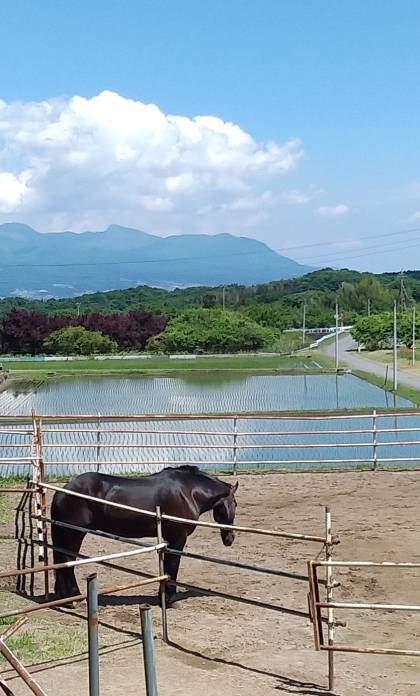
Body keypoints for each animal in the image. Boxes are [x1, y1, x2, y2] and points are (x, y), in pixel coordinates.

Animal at [50, 468, 238, 604]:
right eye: (234, 504)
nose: (230, 539)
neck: (188, 492)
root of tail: (63, 491)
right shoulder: (178, 538)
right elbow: (173, 566)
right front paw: (169, 599)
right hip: (74, 534)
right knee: (67, 561)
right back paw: (74, 597)